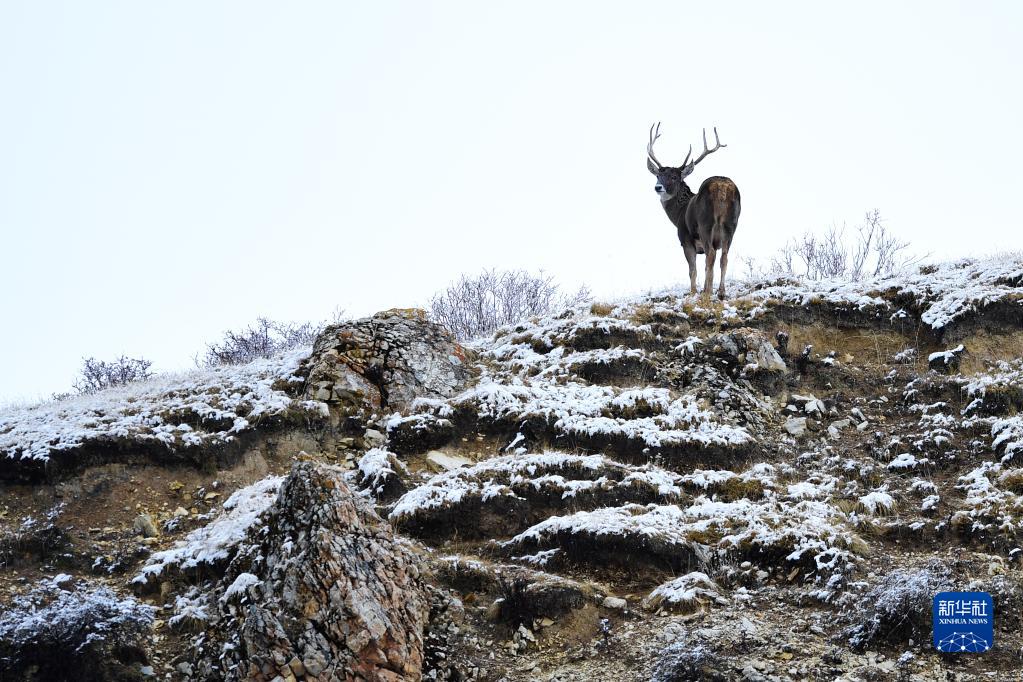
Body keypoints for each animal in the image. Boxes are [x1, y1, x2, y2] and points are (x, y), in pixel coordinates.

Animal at [650, 124, 740, 300]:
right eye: (658, 175)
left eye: (674, 177)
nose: (658, 187)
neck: (679, 212)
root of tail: (722, 187)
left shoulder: (685, 239)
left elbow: (693, 270)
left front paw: (693, 292)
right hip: (731, 225)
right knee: (724, 256)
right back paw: (720, 292)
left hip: (705, 224)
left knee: (711, 254)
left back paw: (708, 293)